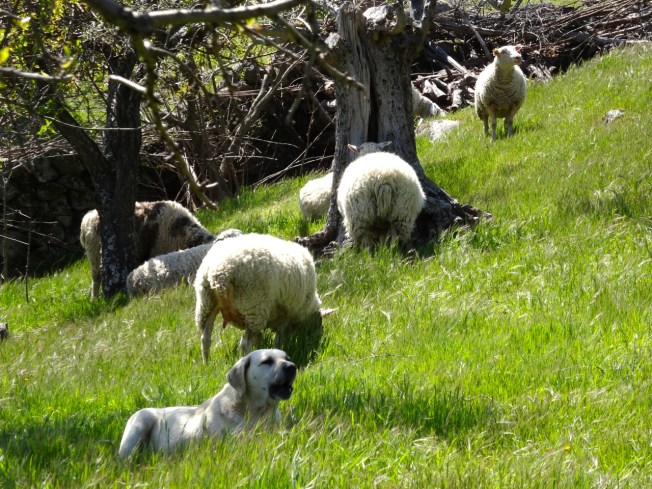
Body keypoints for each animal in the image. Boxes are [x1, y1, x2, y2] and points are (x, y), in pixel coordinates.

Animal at [194, 233, 325, 363]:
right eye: (318, 322)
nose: (317, 336)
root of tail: (220, 272)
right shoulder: (285, 314)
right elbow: (279, 339)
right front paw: (278, 350)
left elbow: (260, 338)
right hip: (254, 305)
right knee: (245, 343)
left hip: (207, 303)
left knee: (205, 339)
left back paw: (206, 364)